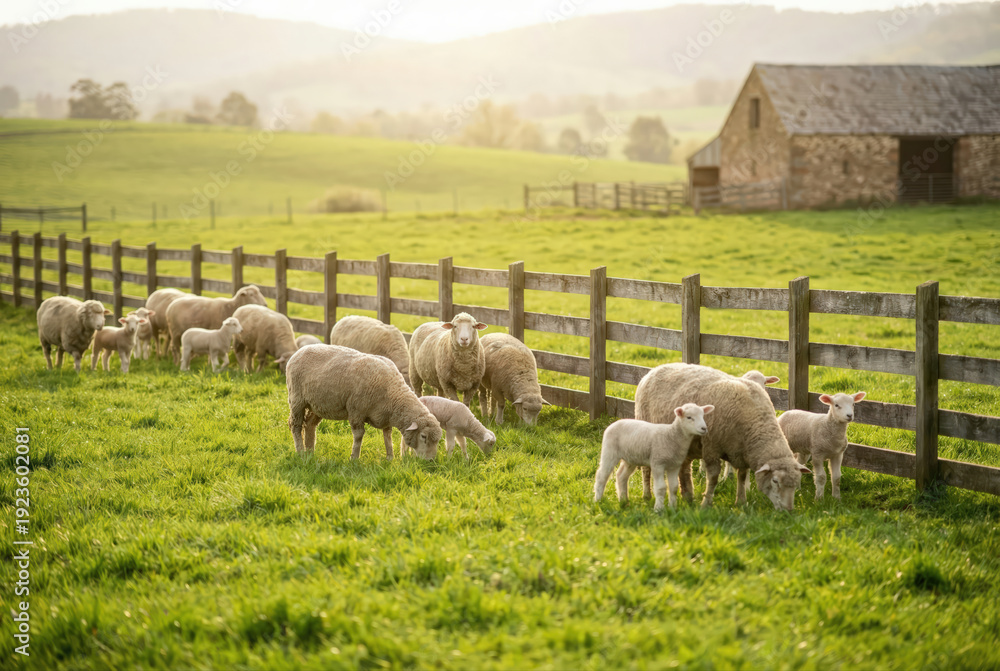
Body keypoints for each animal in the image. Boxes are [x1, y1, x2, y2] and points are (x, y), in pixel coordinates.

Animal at [285, 344, 442, 460]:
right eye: (423, 436)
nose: (431, 461)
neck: (393, 394)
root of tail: (299, 351)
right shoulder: (356, 411)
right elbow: (359, 435)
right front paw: (354, 458)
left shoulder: (385, 417)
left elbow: (388, 435)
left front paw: (390, 458)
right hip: (297, 399)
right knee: (295, 425)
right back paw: (300, 452)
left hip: (318, 404)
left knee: (310, 424)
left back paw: (310, 452)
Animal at [634, 363, 810, 511]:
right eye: (775, 481)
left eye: (796, 483)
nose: (788, 511)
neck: (755, 423)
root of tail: (654, 369)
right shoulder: (711, 447)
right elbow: (713, 478)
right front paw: (706, 504)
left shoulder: (741, 451)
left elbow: (742, 476)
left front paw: (741, 502)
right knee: (646, 469)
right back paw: (647, 495)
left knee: (684, 468)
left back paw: (688, 496)